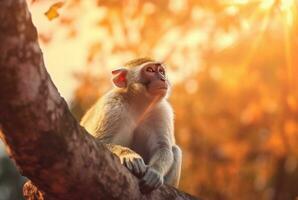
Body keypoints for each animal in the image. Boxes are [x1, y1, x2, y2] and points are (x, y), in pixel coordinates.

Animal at [79, 57, 182, 192]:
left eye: (161, 71)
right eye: (150, 70)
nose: (163, 79)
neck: (138, 105)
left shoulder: (162, 111)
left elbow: (163, 147)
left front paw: (155, 172)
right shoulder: (112, 107)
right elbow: (100, 141)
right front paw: (129, 155)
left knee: (175, 150)